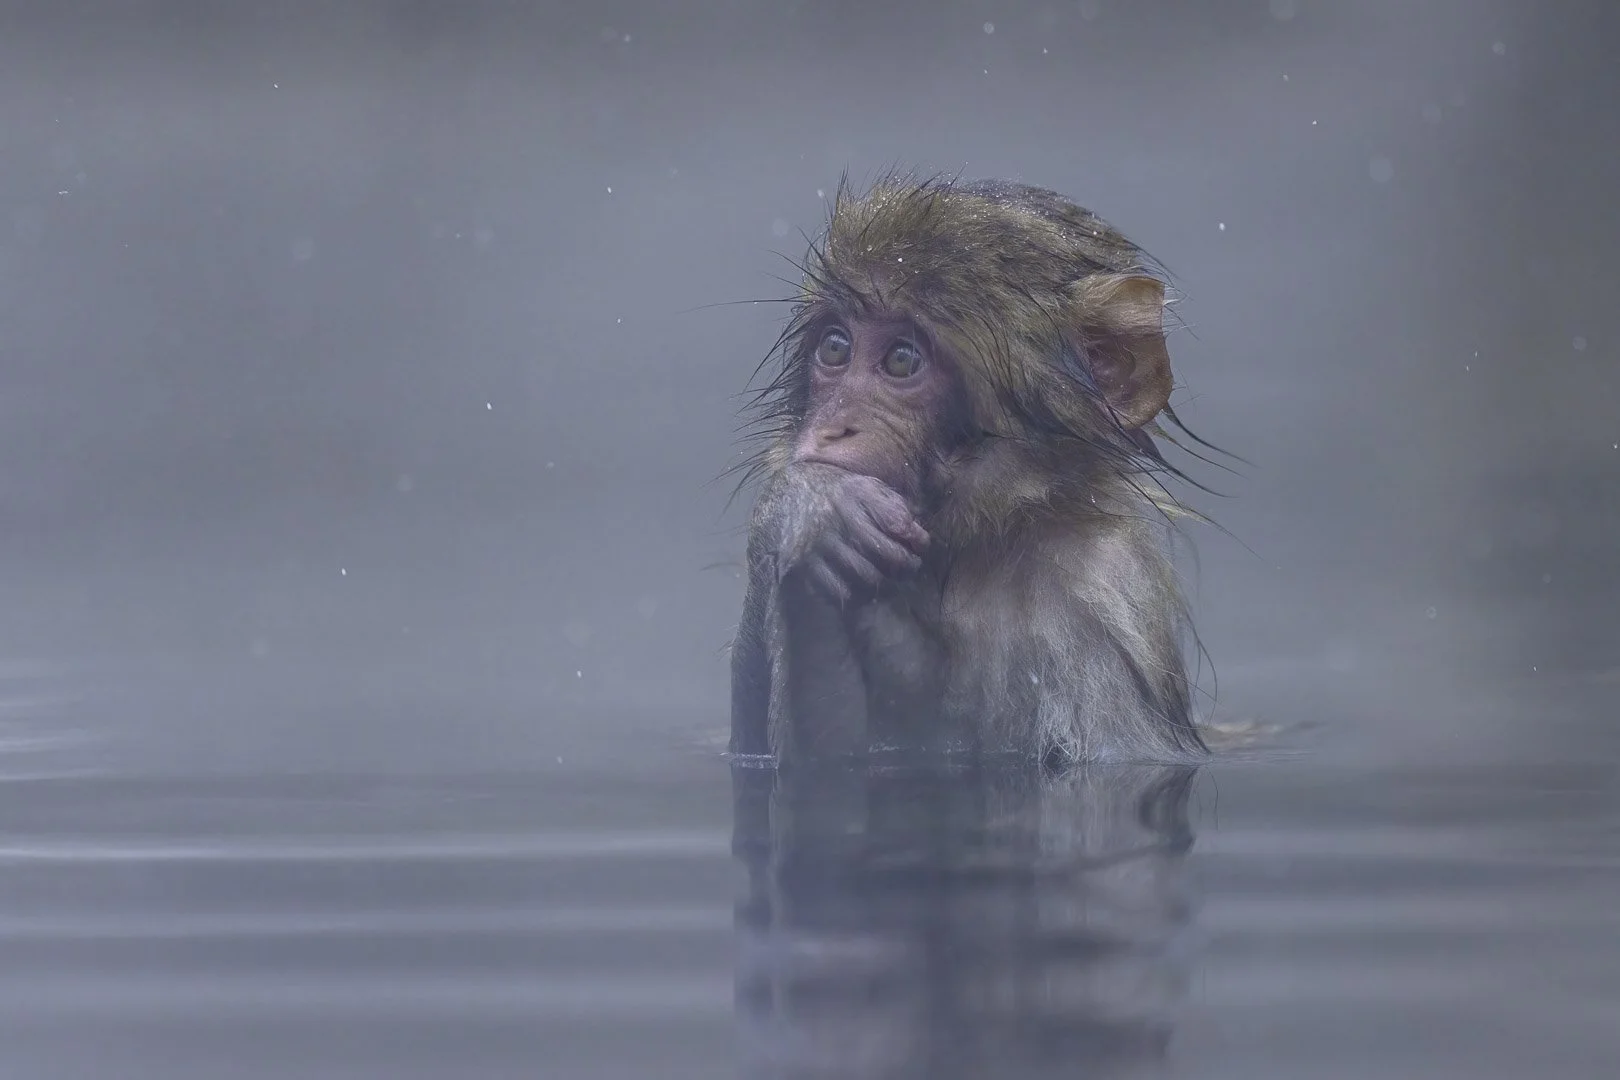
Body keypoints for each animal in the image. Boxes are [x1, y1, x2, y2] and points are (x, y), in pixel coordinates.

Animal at [729, 173, 1215, 767]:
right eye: (837, 347)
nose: (832, 430)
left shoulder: (1100, 595)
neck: (975, 546)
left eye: (901, 360)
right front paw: (810, 509)